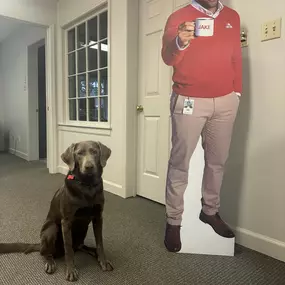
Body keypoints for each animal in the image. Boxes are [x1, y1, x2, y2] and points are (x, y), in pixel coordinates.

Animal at [0, 140, 113, 280]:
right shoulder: (66, 221)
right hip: (51, 230)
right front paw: (70, 270)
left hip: (82, 231)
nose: (89, 166)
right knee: (46, 253)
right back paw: (50, 263)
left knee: (80, 246)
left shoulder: (98, 217)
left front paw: (103, 261)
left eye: (95, 152)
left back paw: (93, 252)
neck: (87, 186)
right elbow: (68, 249)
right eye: (79, 153)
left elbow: (99, 243)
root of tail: (40, 244)